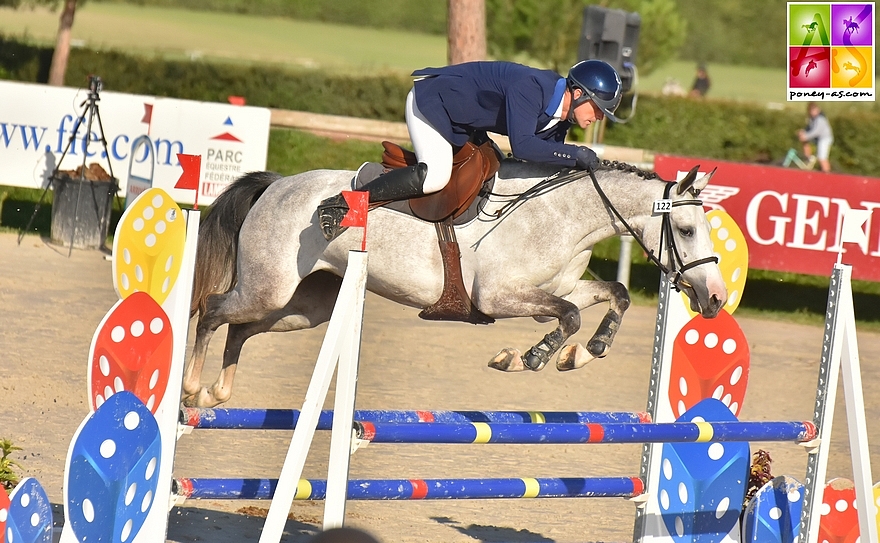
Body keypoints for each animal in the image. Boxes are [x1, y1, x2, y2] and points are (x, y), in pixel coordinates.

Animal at [182, 162, 724, 408]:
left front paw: (584, 352)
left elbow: (614, 295)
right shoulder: (498, 297)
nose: (716, 298)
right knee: (213, 309)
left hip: (304, 306)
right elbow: (568, 316)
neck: (565, 216)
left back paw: (215, 394)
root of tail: (275, 184)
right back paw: (190, 387)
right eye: (686, 230)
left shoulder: (552, 292)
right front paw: (531, 356)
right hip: (269, 288)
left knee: (241, 329)